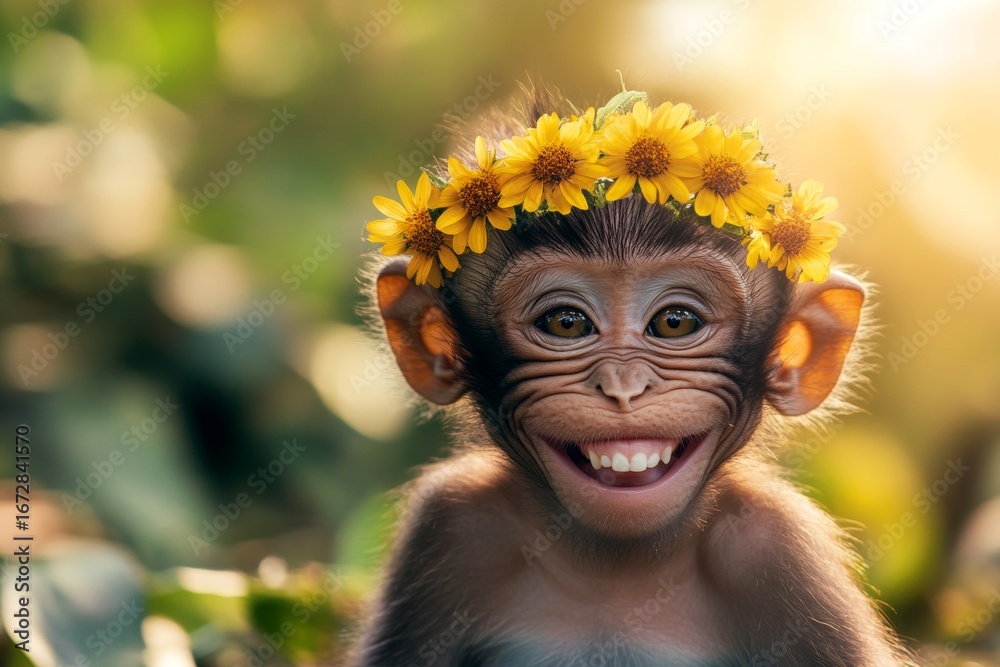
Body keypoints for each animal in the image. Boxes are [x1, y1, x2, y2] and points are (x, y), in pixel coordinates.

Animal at [348, 85, 915, 666]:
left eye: (674, 322)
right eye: (566, 322)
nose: (624, 387)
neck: (619, 562)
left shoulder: (779, 546)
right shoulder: (452, 523)